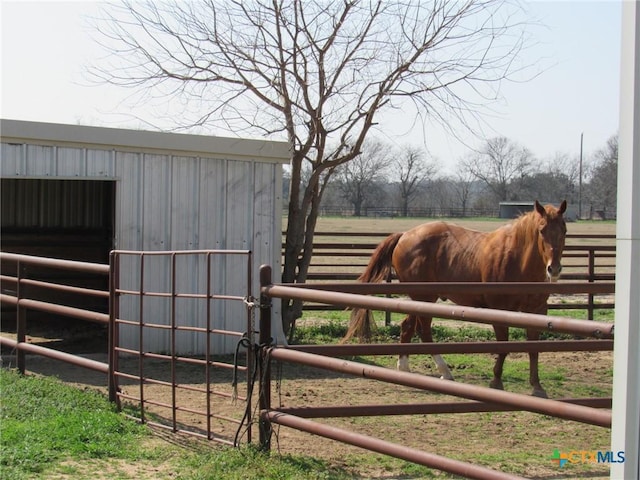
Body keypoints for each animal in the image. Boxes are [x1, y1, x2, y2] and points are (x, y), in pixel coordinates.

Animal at [342, 199, 568, 398]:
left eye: (564, 231)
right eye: (541, 230)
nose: (554, 269)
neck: (518, 259)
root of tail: (405, 235)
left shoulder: (536, 311)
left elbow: (534, 349)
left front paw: (537, 386)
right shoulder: (499, 310)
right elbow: (503, 345)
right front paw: (496, 382)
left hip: (421, 300)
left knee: (408, 327)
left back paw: (404, 368)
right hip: (424, 298)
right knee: (424, 331)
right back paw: (444, 371)